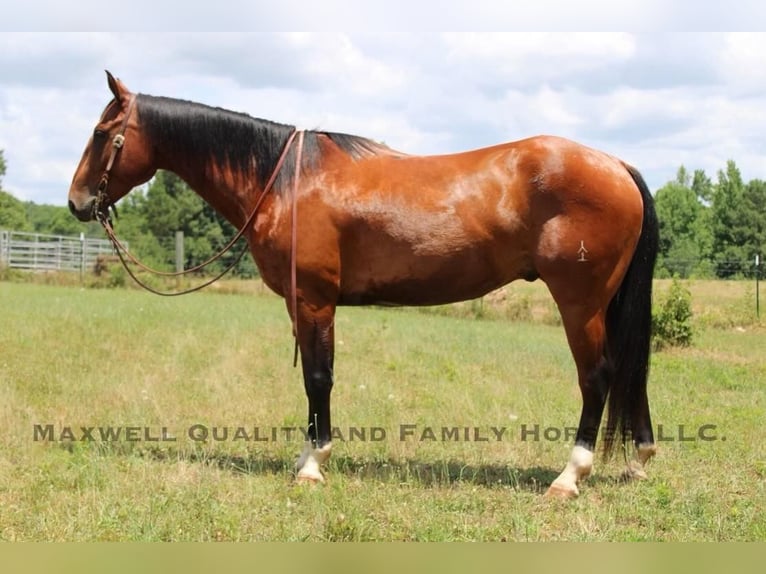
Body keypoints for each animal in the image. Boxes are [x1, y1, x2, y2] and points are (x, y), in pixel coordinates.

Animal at [67, 73, 660, 500]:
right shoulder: (302, 304)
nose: (76, 202)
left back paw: (569, 476)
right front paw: (306, 457)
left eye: (99, 134)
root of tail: (616, 164)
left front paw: (313, 465)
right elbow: (312, 378)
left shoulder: (313, 300)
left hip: (580, 303)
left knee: (597, 376)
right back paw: (639, 460)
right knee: (629, 373)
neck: (286, 180)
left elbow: (318, 378)